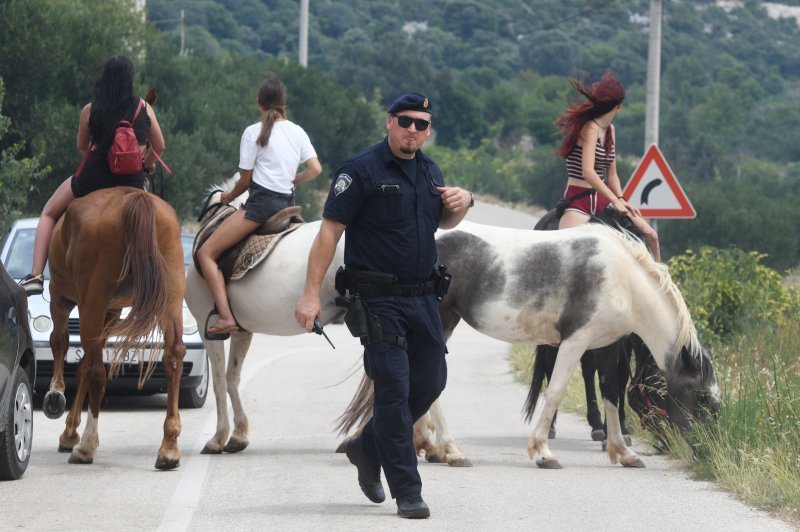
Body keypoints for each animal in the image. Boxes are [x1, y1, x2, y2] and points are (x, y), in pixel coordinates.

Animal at [44, 188, 188, 470]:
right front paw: (69, 431)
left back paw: (86, 446)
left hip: (90, 303)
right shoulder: (110, 313)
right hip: (171, 299)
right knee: (173, 357)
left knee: (97, 371)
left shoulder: (61, 299)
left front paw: (56, 396)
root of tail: (134, 199)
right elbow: (82, 363)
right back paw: (169, 448)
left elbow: (60, 343)